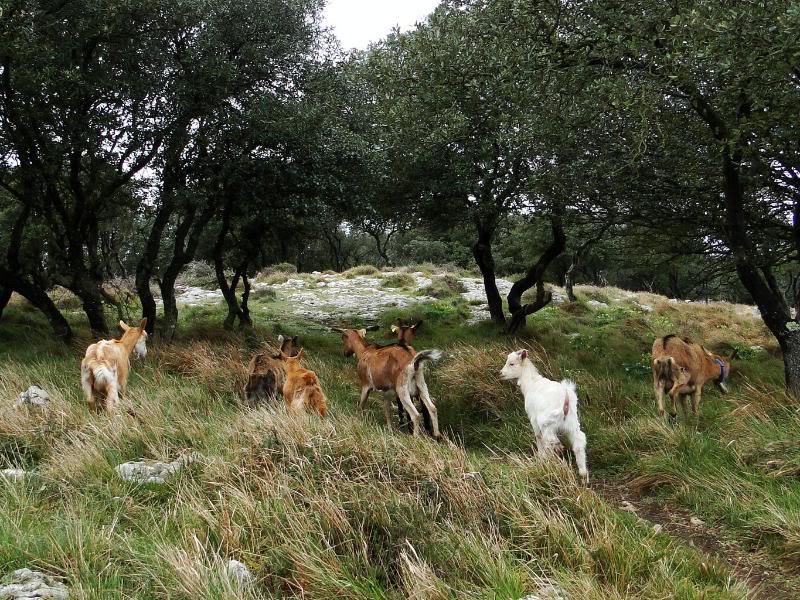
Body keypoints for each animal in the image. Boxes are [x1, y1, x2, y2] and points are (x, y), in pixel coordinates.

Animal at [500, 352, 588, 482]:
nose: (500, 373)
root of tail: (566, 398)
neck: (530, 383)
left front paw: (540, 458)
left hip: (547, 422)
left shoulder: (533, 418)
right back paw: (583, 475)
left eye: (511, 363)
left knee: (552, 441)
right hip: (572, 423)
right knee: (578, 442)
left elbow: (538, 437)